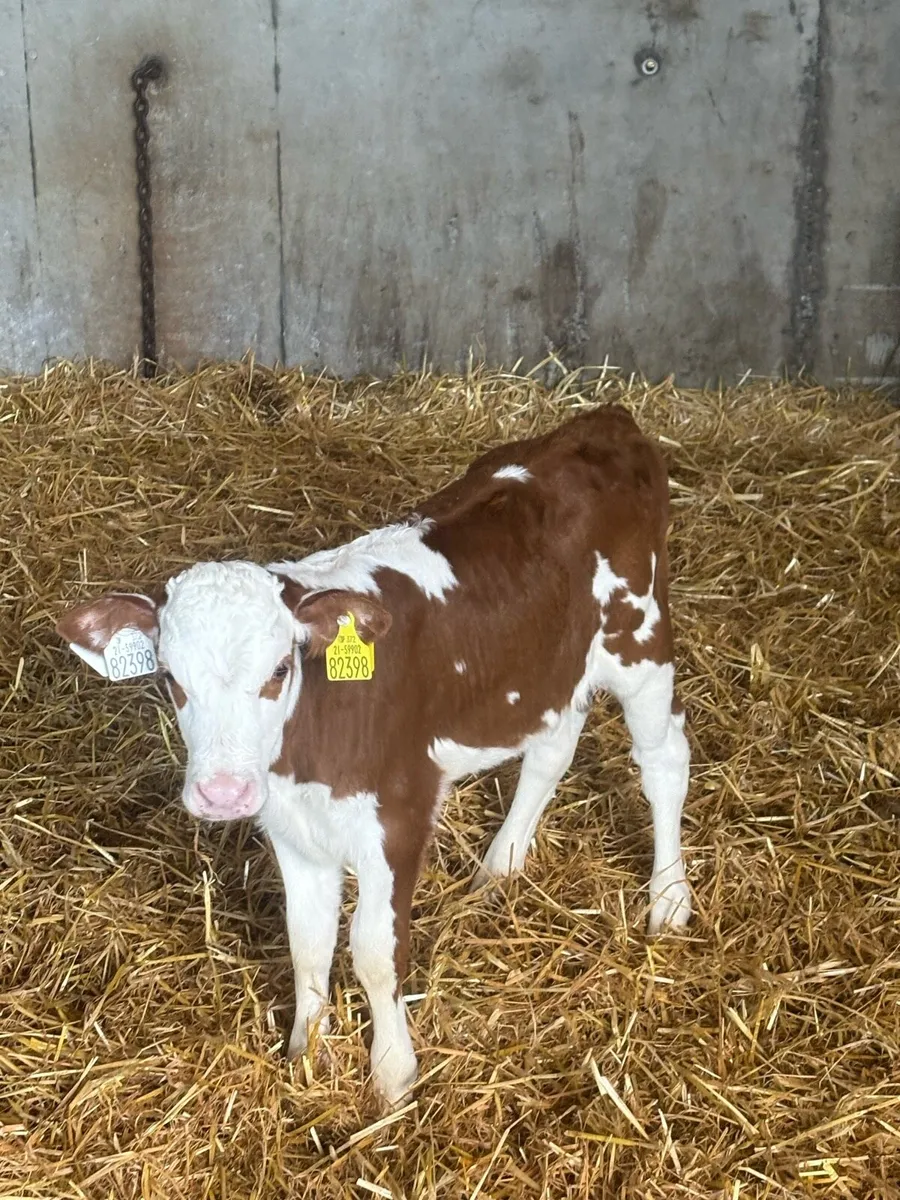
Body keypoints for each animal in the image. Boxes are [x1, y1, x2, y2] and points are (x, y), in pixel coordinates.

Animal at [56, 406, 691, 1106]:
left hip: (640, 642)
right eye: (170, 678)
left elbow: (374, 952)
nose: (222, 793)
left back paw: (669, 899)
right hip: (548, 668)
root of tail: (605, 420)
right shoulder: (292, 829)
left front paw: (392, 1073)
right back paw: (501, 865)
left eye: (279, 670)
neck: (306, 755)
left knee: (664, 760)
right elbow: (307, 942)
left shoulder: (401, 812)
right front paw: (306, 1051)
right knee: (554, 746)